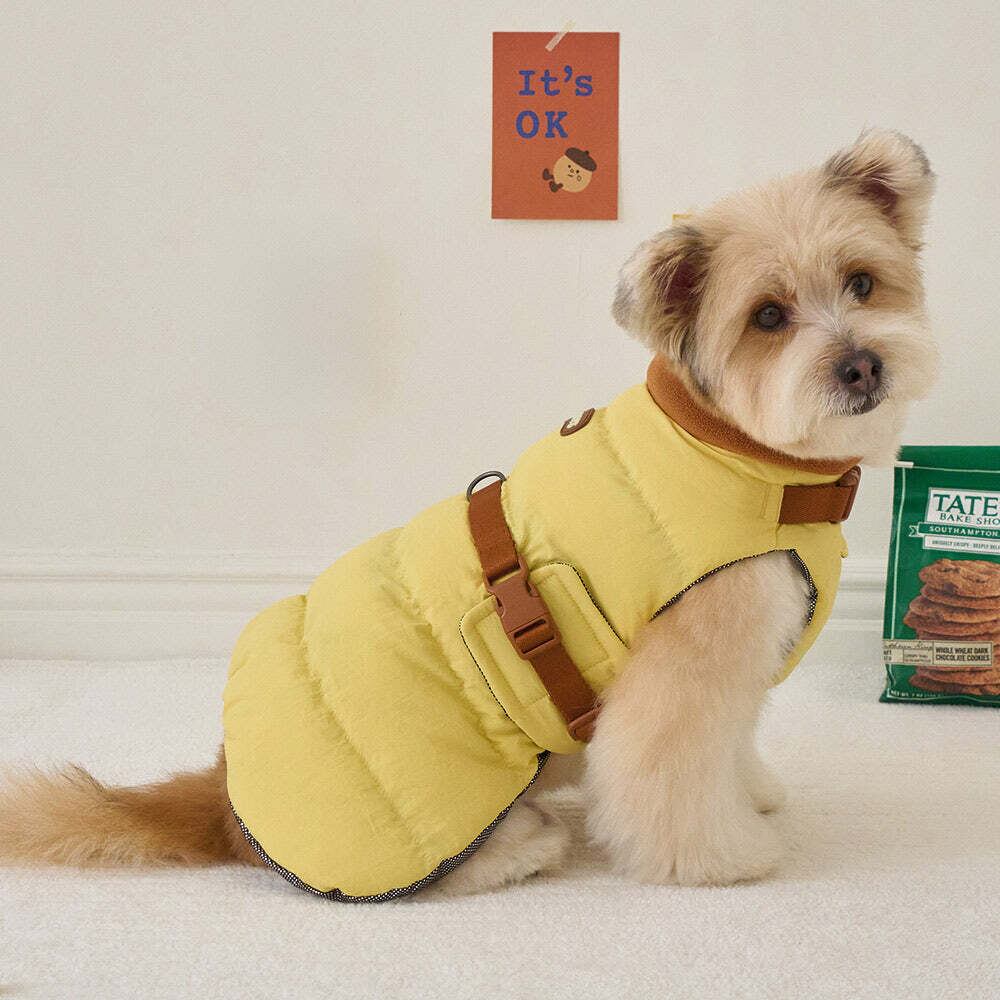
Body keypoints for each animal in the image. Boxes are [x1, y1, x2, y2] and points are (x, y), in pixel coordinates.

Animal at [0, 128, 937, 894]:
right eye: (768, 317)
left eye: (862, 282)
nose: (861, 365)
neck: (731, 448)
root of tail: (227, 801)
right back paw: (525, 844)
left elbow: (731, 745)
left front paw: (753, 794)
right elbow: (670, 781)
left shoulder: (739, 658)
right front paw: (718, 858)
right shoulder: (683, 669)